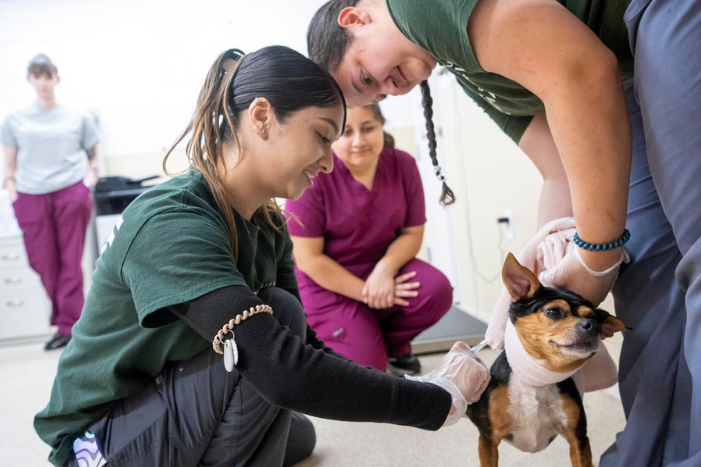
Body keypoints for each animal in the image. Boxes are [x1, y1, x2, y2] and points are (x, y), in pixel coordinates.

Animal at [468, 256, 628, 467]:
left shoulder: (578, 438)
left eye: (594, 319)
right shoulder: (488, 439)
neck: (536, 383)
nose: (591, 325)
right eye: (553, 311)